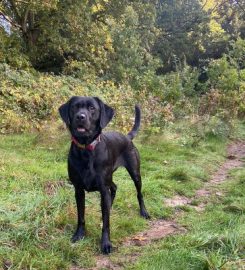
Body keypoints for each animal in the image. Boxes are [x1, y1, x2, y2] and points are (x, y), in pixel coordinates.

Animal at [59, 96, 149, 253]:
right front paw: (79, 235)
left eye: (92, 108)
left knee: (139, 193)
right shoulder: (79, 190)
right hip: (109, 180)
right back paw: (110, 205)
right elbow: (81, 216)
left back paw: (143, 212)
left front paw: (106, 243)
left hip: (135, 173)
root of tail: (127, 137)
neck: (86, 149)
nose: (80, 117)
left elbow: (106, 223)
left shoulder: (102, 187)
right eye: (75, 107)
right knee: (114, 188)